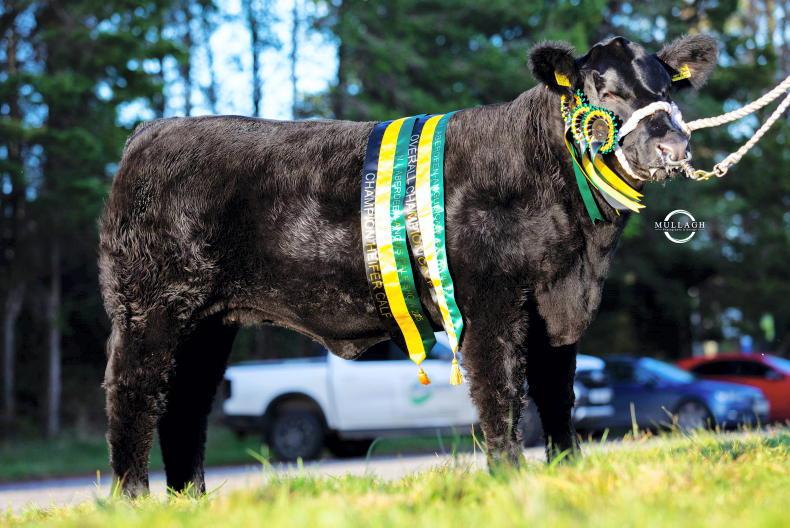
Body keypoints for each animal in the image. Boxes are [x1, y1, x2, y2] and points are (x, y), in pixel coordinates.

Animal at [98, 34, 717, 497]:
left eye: (667, 87)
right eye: (604, 90)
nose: (672, 146)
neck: (582, 247)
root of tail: (150, 132)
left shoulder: (556, 309)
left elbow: (557, 398)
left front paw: (567, 473)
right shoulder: (488, 303)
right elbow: (502, 394)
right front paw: (509, 479)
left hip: (207, 323)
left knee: (185, 406)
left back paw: (191, 503)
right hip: (148, 308)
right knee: (133, 395)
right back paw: (135, 501)